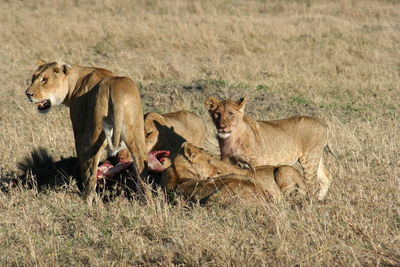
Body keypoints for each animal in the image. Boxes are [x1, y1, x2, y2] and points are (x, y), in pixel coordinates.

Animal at [25, 60, 148, 203]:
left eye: (45, 79)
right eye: (33, 78)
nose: (28, 94)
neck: (74, 81)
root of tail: (116, 87)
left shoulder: (79, 131)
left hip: (94, 134)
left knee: (91, 172)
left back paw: (87, 200)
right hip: (136, 133)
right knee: (141, 165)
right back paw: (146, 201)